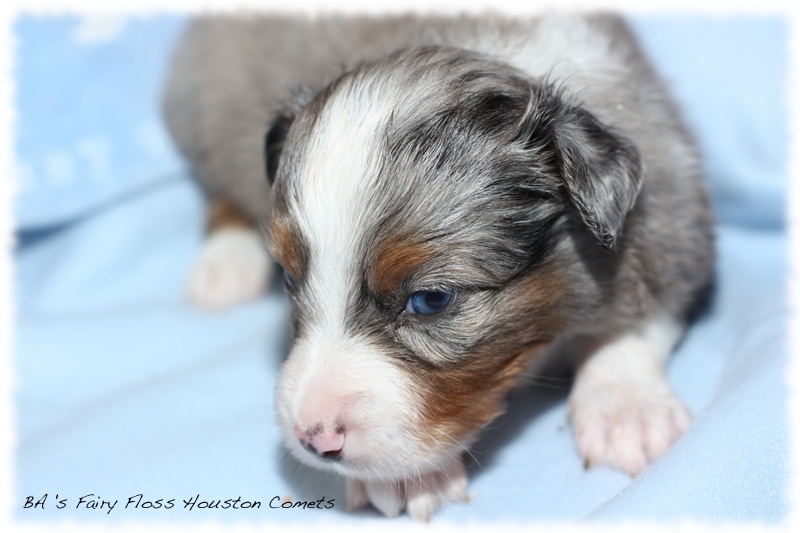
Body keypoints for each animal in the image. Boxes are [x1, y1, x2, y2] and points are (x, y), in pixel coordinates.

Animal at [161, 13, 712, 520]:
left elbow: (639, 319)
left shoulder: (673, 223)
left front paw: (626, 410)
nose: (314, 440)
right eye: (290, 277)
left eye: (430, 299)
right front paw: (407, 478)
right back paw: (224, 265)